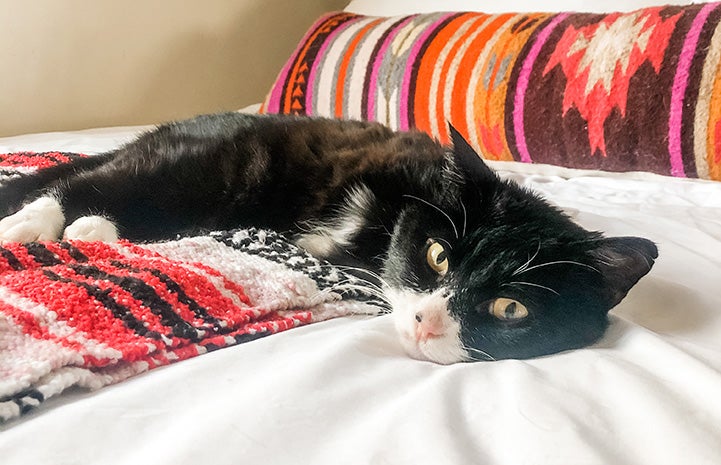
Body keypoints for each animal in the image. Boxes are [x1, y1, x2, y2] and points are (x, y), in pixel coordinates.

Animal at [0, 112, 660, 362]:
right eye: (438, 255)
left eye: (511, 308)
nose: (425, 323)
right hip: (215, 161)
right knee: (94, 179)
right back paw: (38, 221)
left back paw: (93, 226)